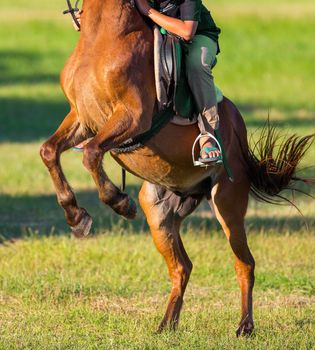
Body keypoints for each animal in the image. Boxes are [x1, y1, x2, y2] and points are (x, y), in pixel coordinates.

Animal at [40, 0, 314, 338]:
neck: (101, 34)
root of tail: (241, 136)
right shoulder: (82, 118)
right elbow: (49, 151)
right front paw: (76, 216)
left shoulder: (132, 116)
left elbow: (91, 154)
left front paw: (118, 202)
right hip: (159, 212)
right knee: (183, 266)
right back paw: (166, 324)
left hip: (226, 201)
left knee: (244, 263)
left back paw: (244, 326)